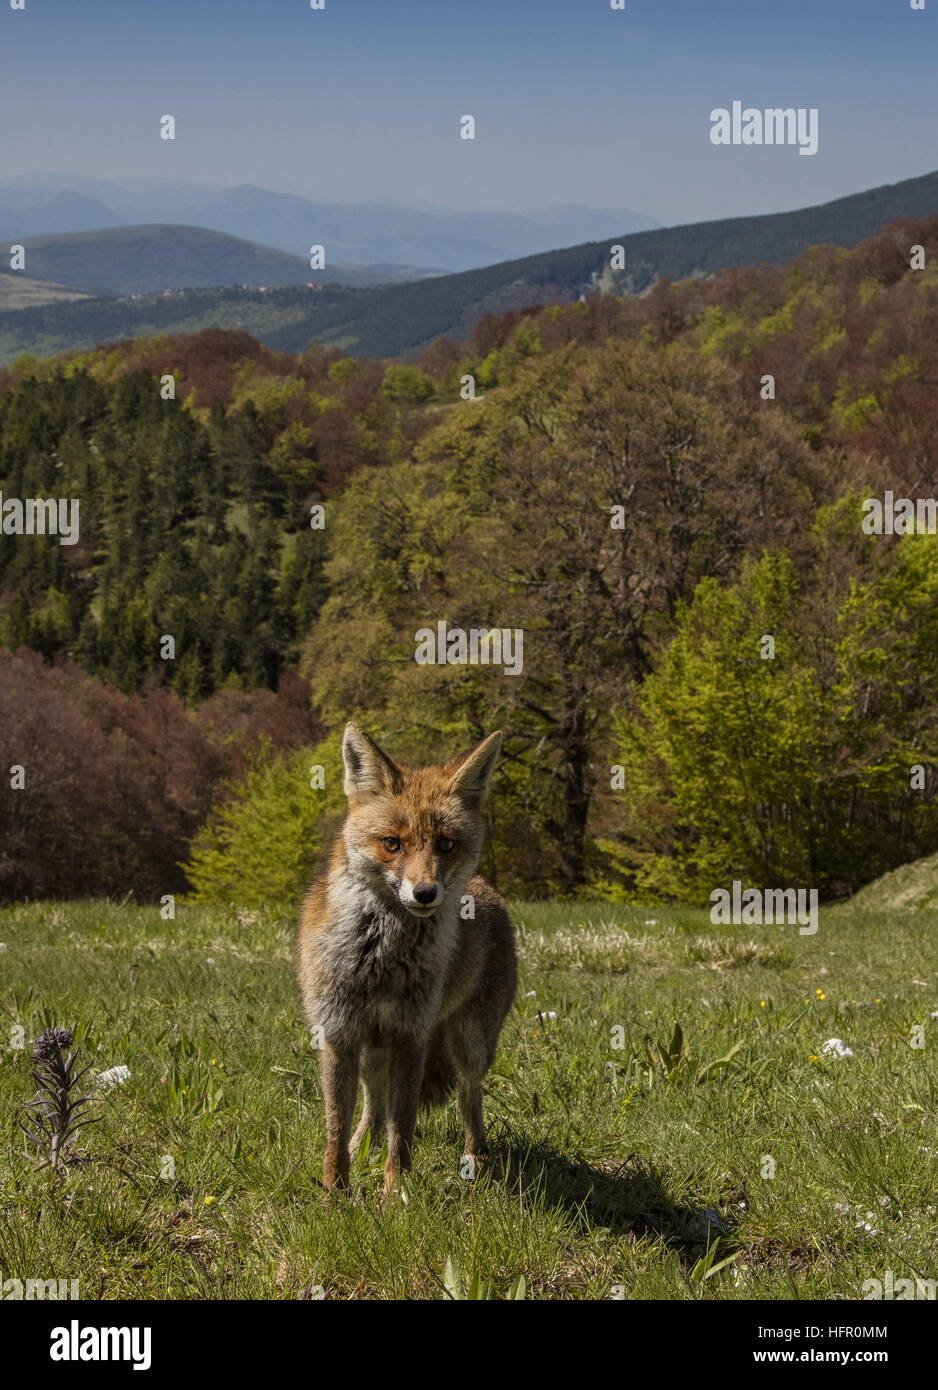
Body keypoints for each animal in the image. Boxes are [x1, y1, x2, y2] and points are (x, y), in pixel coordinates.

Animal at [295, 722, 516, 1189]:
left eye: (446, 844)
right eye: (391, 844)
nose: (426, 893)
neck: (378, 958)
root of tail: (488, 888)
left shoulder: (410, 1036)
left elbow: (404, 1131)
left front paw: (395, 1193)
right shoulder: (339, 1035)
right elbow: (336, 1130)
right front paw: (334, 1193)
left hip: (471, 1042)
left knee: (469, 1094)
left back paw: (475, 1158)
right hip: (372, 1052)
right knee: (373, 1106)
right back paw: (363, 1146)